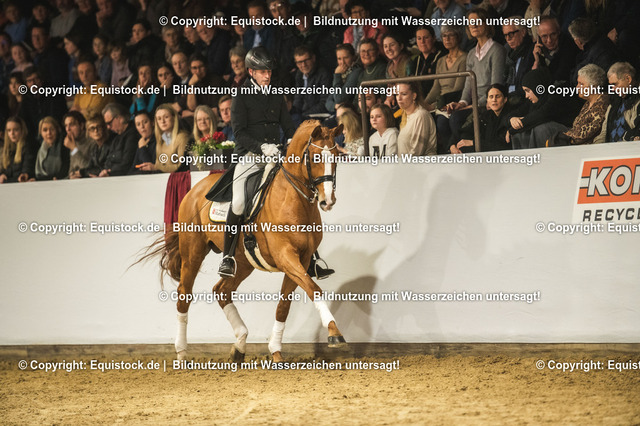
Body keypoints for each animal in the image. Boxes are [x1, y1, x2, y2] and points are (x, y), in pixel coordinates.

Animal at [139, 120, 346, 363]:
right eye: (314, 157)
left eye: (336, 157)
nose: (328, 201)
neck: (292, 197)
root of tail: (195, 190)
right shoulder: (286, 256)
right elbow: (314, 289)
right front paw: (334, 333)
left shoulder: (301, 261)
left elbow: (284, 305)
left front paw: (275, 350)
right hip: (193, 254)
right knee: (184, 294)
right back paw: (181, 352)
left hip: (243, 262)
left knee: (221, 290)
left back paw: (239, 344)